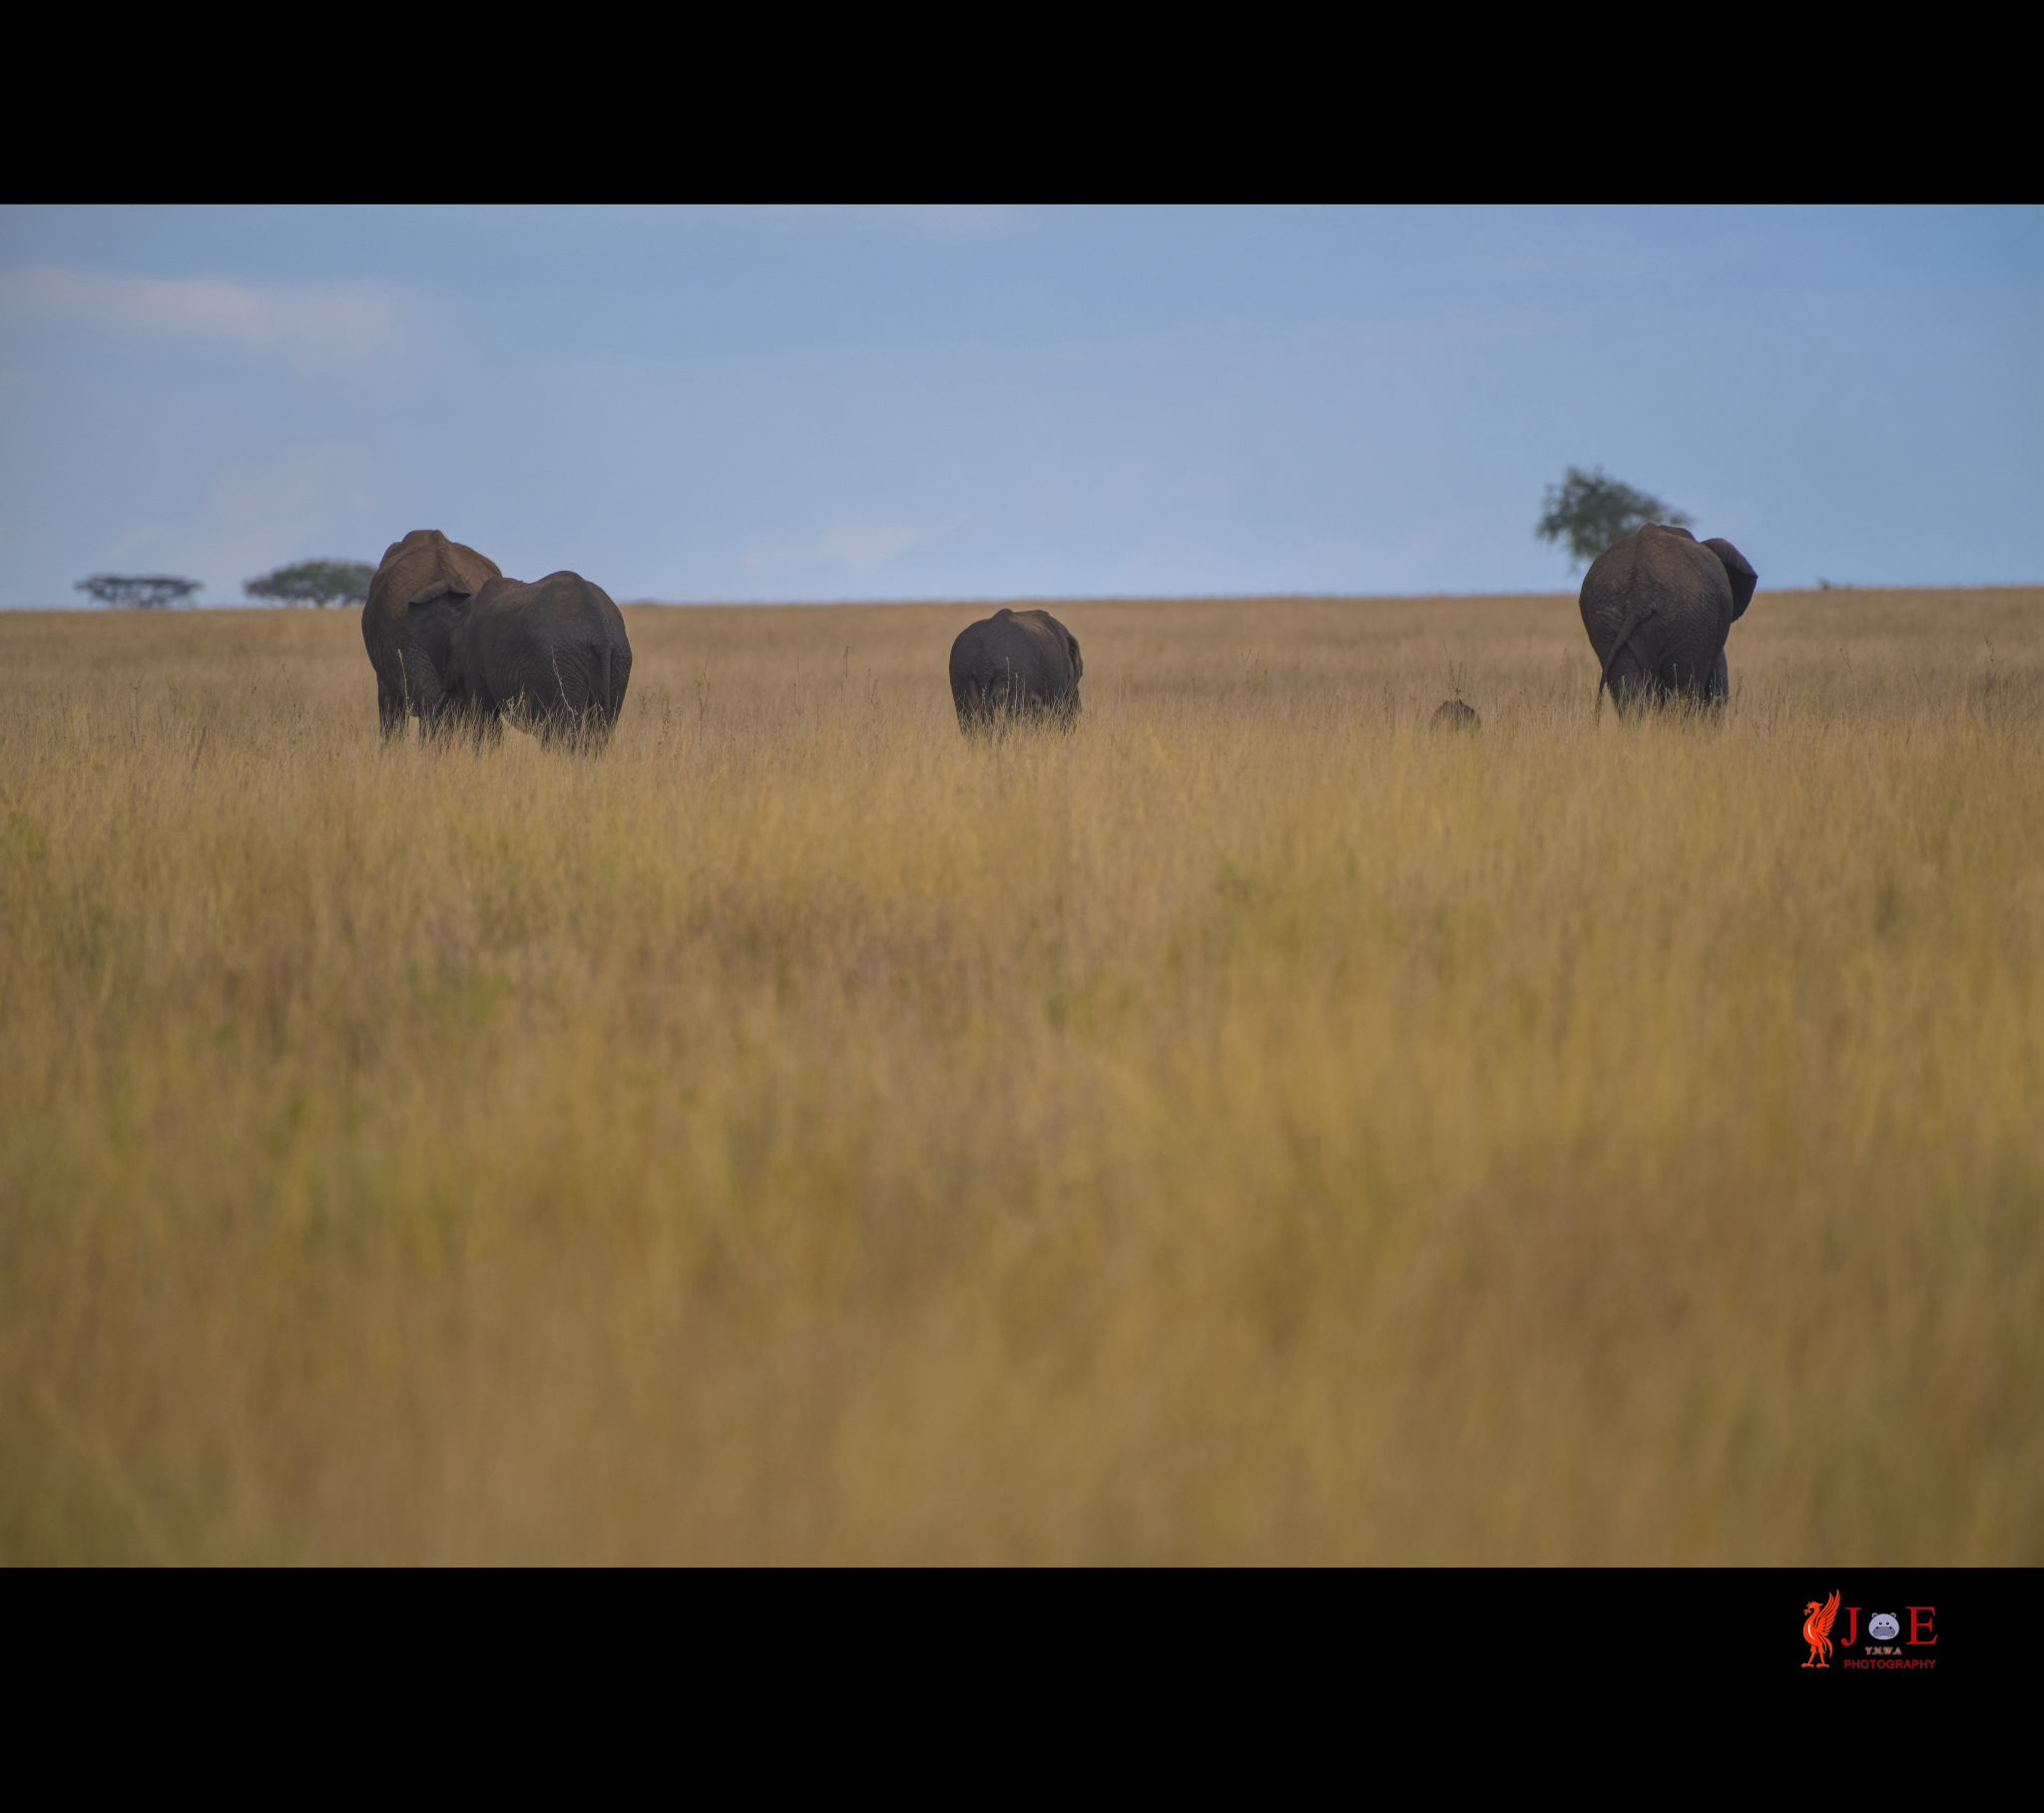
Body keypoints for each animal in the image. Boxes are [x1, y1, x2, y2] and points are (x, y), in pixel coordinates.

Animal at [447, 572, 629, 743]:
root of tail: (601, 633)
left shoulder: (472, 651)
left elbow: (483, 713)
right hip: (616, 664)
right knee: (600, 728)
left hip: (561, 664)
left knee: (565, 729)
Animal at [1578, 521, 1758, 710]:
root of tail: (1640, 590)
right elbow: (1718, 686)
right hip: (1689, 622)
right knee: (1684, 687)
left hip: (1604, 617)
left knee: (1629, 690)